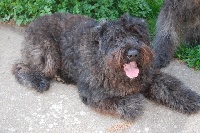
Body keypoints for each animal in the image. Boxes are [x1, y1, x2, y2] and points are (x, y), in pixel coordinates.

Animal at [12, 13, 200, 121]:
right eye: (114, 38)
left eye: (137, 34)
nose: (132, 53)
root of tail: (33, 22)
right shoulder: (93, 92)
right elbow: (127, 102)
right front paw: (135, 99)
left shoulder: (151, 76)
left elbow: (171, 87)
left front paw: (190, 99)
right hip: (47, 54)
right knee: (19, 66)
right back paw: (37, 81)